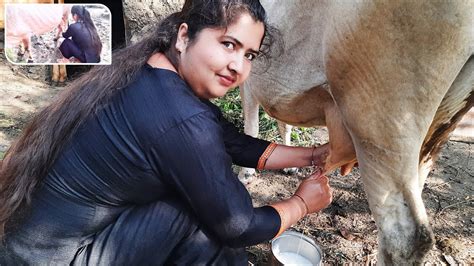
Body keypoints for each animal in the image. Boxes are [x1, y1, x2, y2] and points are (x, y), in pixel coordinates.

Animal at [241, 1, 474, 264]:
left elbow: (251, 124)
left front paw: (246, 174)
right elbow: (283, 123)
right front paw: (289, 166)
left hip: (382, 125)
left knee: (406, 236)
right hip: (440, 123)